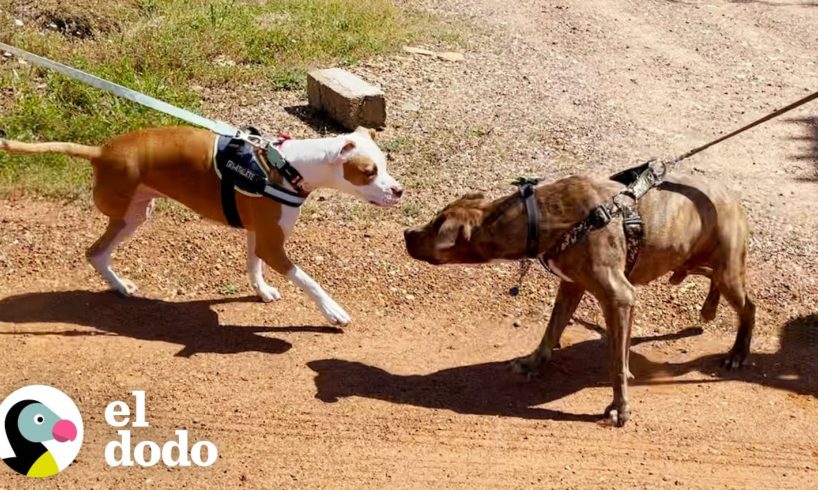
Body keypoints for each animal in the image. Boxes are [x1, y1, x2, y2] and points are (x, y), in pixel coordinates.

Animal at [0, 126, 402, 326]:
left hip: (137, 212)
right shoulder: (273, 245)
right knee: (95, 251)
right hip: (126, 209)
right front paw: (332, 311)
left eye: (384, 164)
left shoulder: (258, 236)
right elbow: (310, 280)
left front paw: (261, 291)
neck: (289, 167)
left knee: (97, 253)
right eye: (368, 171)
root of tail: (101, 151)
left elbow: (253, 266)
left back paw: (119, 285)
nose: (399, 190)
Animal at [402, 174, 752, 426]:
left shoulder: (618, 297)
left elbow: (616, 364)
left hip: (727, 270)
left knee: (748, 306)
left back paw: (737, 352)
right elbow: (551, 330)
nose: (406, 233)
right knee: (710, 277)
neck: (538, 217)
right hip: (691, 261)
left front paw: (620, 407)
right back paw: (709, 309)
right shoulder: (571, 286)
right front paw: (533, 363)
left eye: (434, 226)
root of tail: (731, 194)